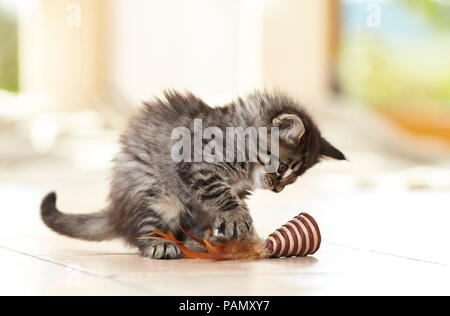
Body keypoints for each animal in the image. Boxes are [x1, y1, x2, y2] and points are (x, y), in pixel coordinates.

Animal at [41, 90, 344, 258]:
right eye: (282, 168)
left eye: (293, 179)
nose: (278, 189)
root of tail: (116, 210)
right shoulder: (196, 162)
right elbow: (219, 193)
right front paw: (237, 218)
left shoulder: (234, 190)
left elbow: (224, 201)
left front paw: (237, 229)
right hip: (152, 190)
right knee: (144, 228)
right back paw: (160, 244)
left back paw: (200, 243)